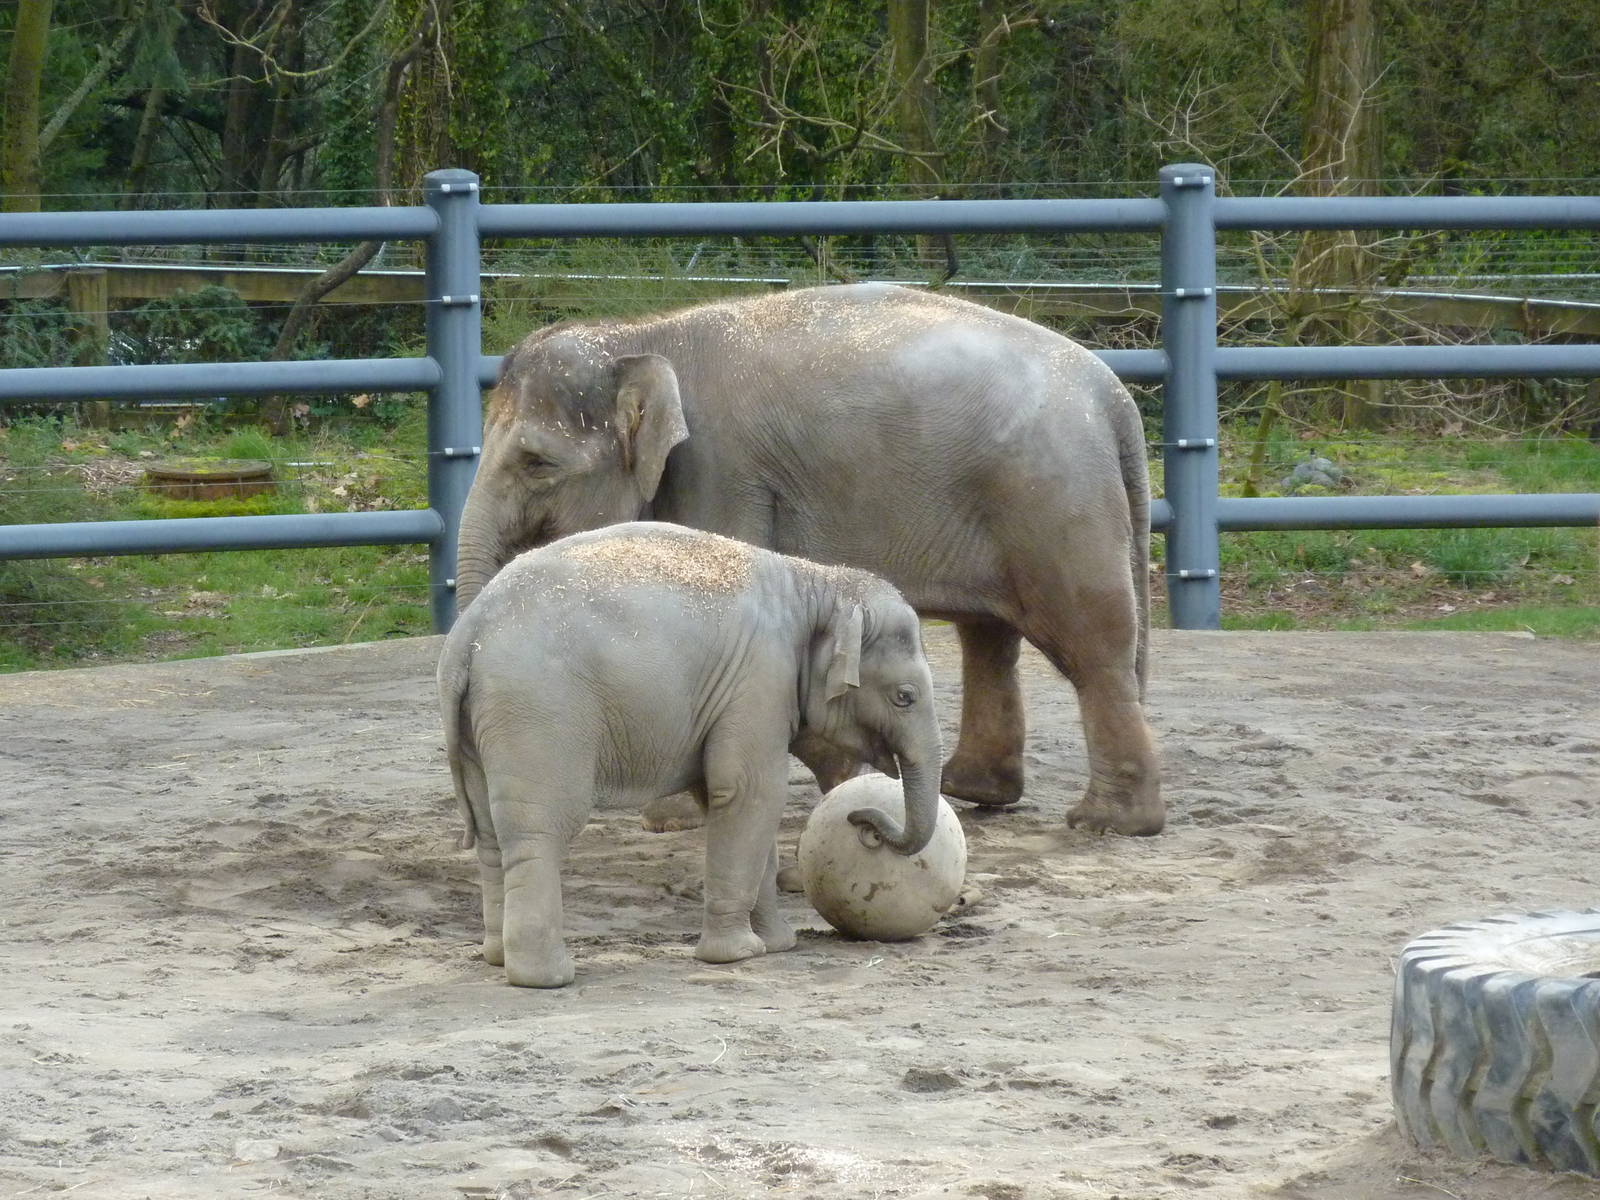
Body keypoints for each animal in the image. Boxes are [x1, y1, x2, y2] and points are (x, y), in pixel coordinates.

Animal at [437, 521, 943, 988]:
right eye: (905, 697)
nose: (862, 818)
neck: (816, 583)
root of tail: (467, 635)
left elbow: (734, 802)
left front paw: (776, 944)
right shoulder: (760, 678)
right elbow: (750, 793)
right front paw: (737, 955)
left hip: (481, 724)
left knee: (489, 832)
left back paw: (497, 958)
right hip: (538, 710)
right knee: (540, 828)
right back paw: (545, 976)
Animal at [455, 282, 1161, 836]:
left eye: (536, 463)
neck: (641, 337)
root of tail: (1111, 392)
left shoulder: (720, 472)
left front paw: (671, 820)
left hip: (1055, 502)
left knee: (1090, 644)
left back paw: (1107, 822)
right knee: (989, 637)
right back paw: (976, 791)